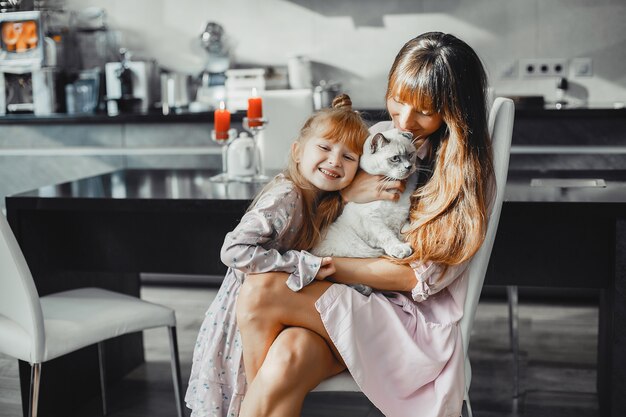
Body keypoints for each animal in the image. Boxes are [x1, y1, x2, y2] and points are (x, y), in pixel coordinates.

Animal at [312, 128, 420, 294]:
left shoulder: (400, 217)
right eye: (395, 158)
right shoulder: (372, 219)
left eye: (410, 155)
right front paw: (401, 249)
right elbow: (387, 236)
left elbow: (402, 231)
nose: (409, 167)